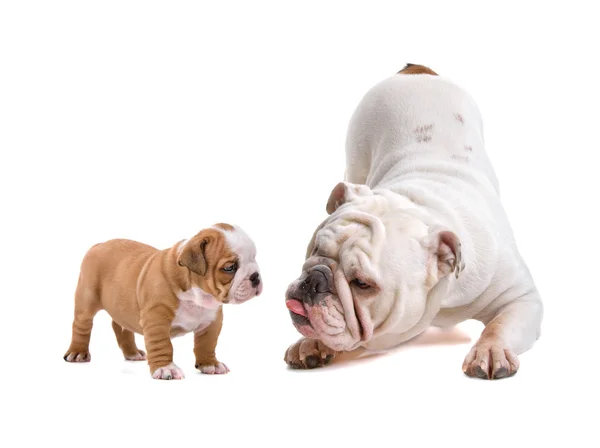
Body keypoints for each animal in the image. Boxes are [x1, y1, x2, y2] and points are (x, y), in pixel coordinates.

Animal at [64, 222, 262, 380]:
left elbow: (207, 344)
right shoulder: (156, 320)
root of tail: (99, 244)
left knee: (121, 327)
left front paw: (210, 364)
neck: (197, 295)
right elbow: (162, 345)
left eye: (254, 258)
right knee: (81, 326)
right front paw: (166, 368)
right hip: (87, 300)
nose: (256, 276)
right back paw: (78, 353)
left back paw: (132, 353)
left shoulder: (211, 322)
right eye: (230, 268)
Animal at [284, 64, 540, 378]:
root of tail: (415, 69)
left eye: (362, 284)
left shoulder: (522, 297)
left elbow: (499, 325)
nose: (314, 279)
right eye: (316, 249)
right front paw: (311, 343)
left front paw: (490, 351)